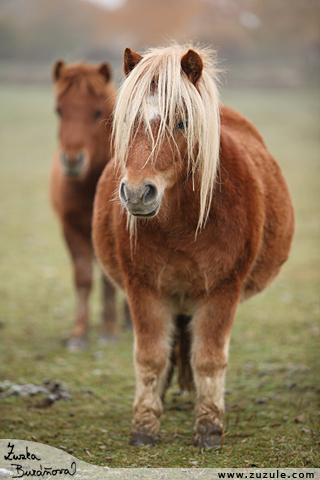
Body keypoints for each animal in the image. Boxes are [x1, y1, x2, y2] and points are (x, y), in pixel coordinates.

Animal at [91, 44, 294, 446]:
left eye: (182, 123)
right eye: (127, 122)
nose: (136, 193)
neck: (182, 224)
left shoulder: (222, 291)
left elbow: (209, 359)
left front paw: (209, 426)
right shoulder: (143, 289)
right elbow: (151, 357)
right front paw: (145, 426)